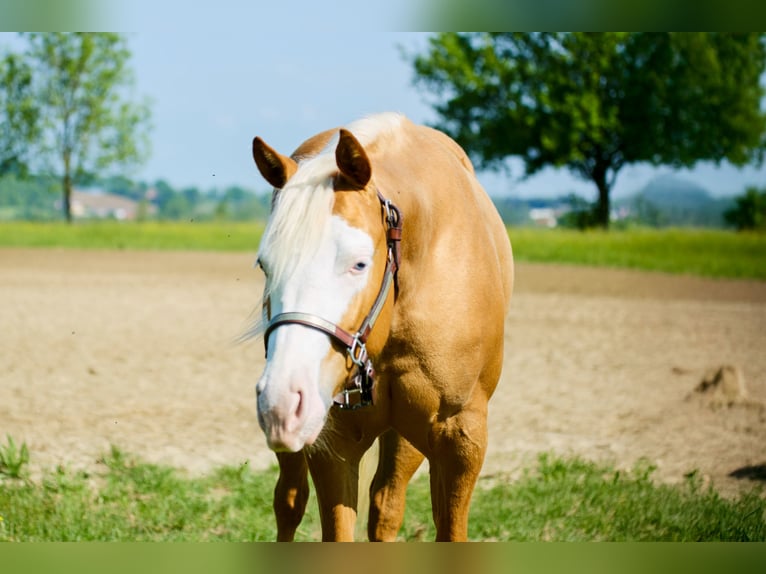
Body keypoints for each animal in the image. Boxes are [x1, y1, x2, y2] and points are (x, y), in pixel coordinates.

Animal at [249, 112, 513, 541]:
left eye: (359, 263)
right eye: (265, 266)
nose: (282, 401)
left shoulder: (461, 438)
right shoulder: (333, 441)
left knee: (386, 505)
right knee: (288, 501)